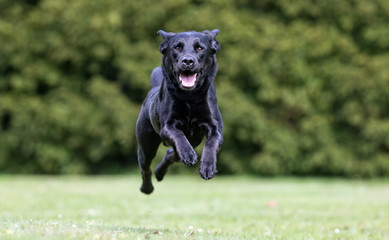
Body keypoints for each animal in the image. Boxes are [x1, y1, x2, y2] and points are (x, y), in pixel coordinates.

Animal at [136, 29, 221, 193]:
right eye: (176, 47)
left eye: (200, 48)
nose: (187, 61)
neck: (190, 97)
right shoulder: (167, 126)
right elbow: (178, 133)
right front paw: (187, 153)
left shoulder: (215, 127)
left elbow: (212, 142)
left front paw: (208, 167)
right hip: (146, 144)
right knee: (145, 167)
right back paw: (147, 188)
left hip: (194, 141)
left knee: (170, 154)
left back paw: (160, 173)